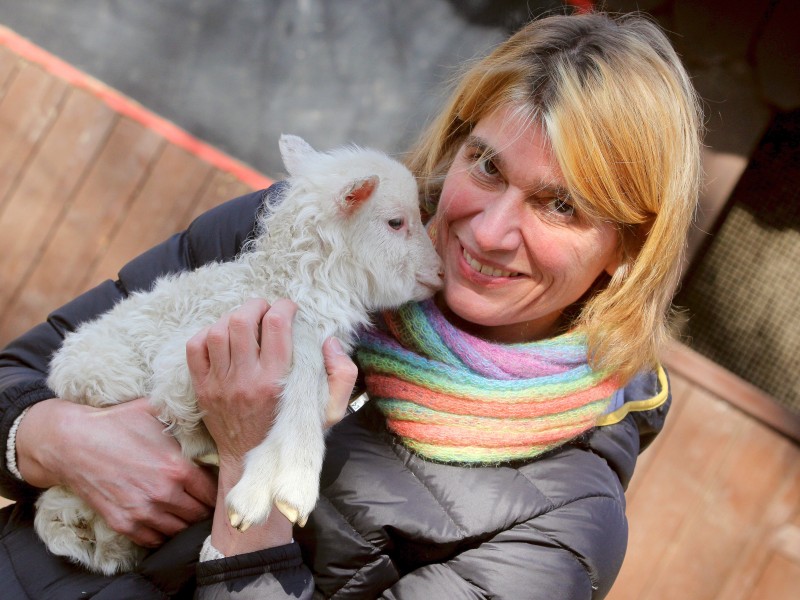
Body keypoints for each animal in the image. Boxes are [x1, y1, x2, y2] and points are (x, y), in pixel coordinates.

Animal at [36, 134, 444, 576]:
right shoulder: (189, 353)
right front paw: (288, 483)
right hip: (105, 376)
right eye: (396, 222)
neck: (283, 284)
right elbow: (301, 376)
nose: (439, 274)